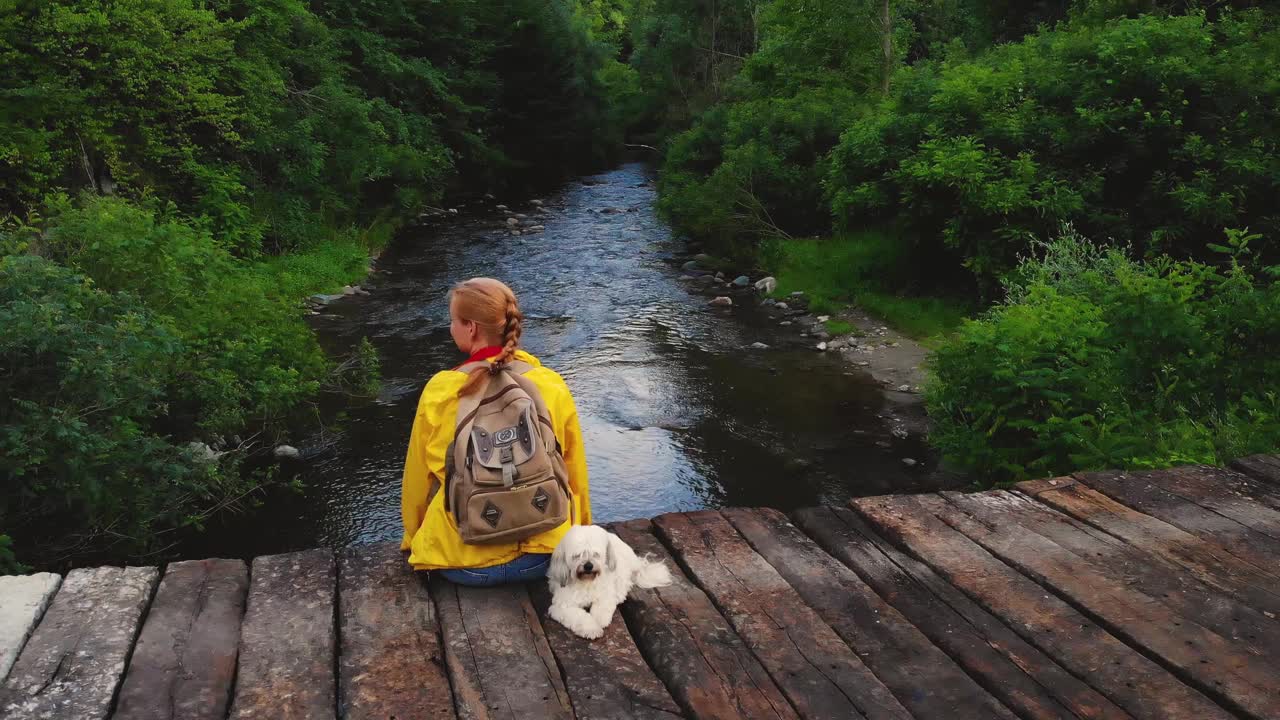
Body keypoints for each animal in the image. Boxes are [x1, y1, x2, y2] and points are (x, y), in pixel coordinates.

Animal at [545, 525, 675, 635]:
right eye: (577, 555)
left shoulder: (606, 594)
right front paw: (592, 629)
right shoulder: (562, 606)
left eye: (596, 554)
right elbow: (579, 616)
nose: (588, 566)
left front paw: (599, 621)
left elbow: (602, 607)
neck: (587, 582)